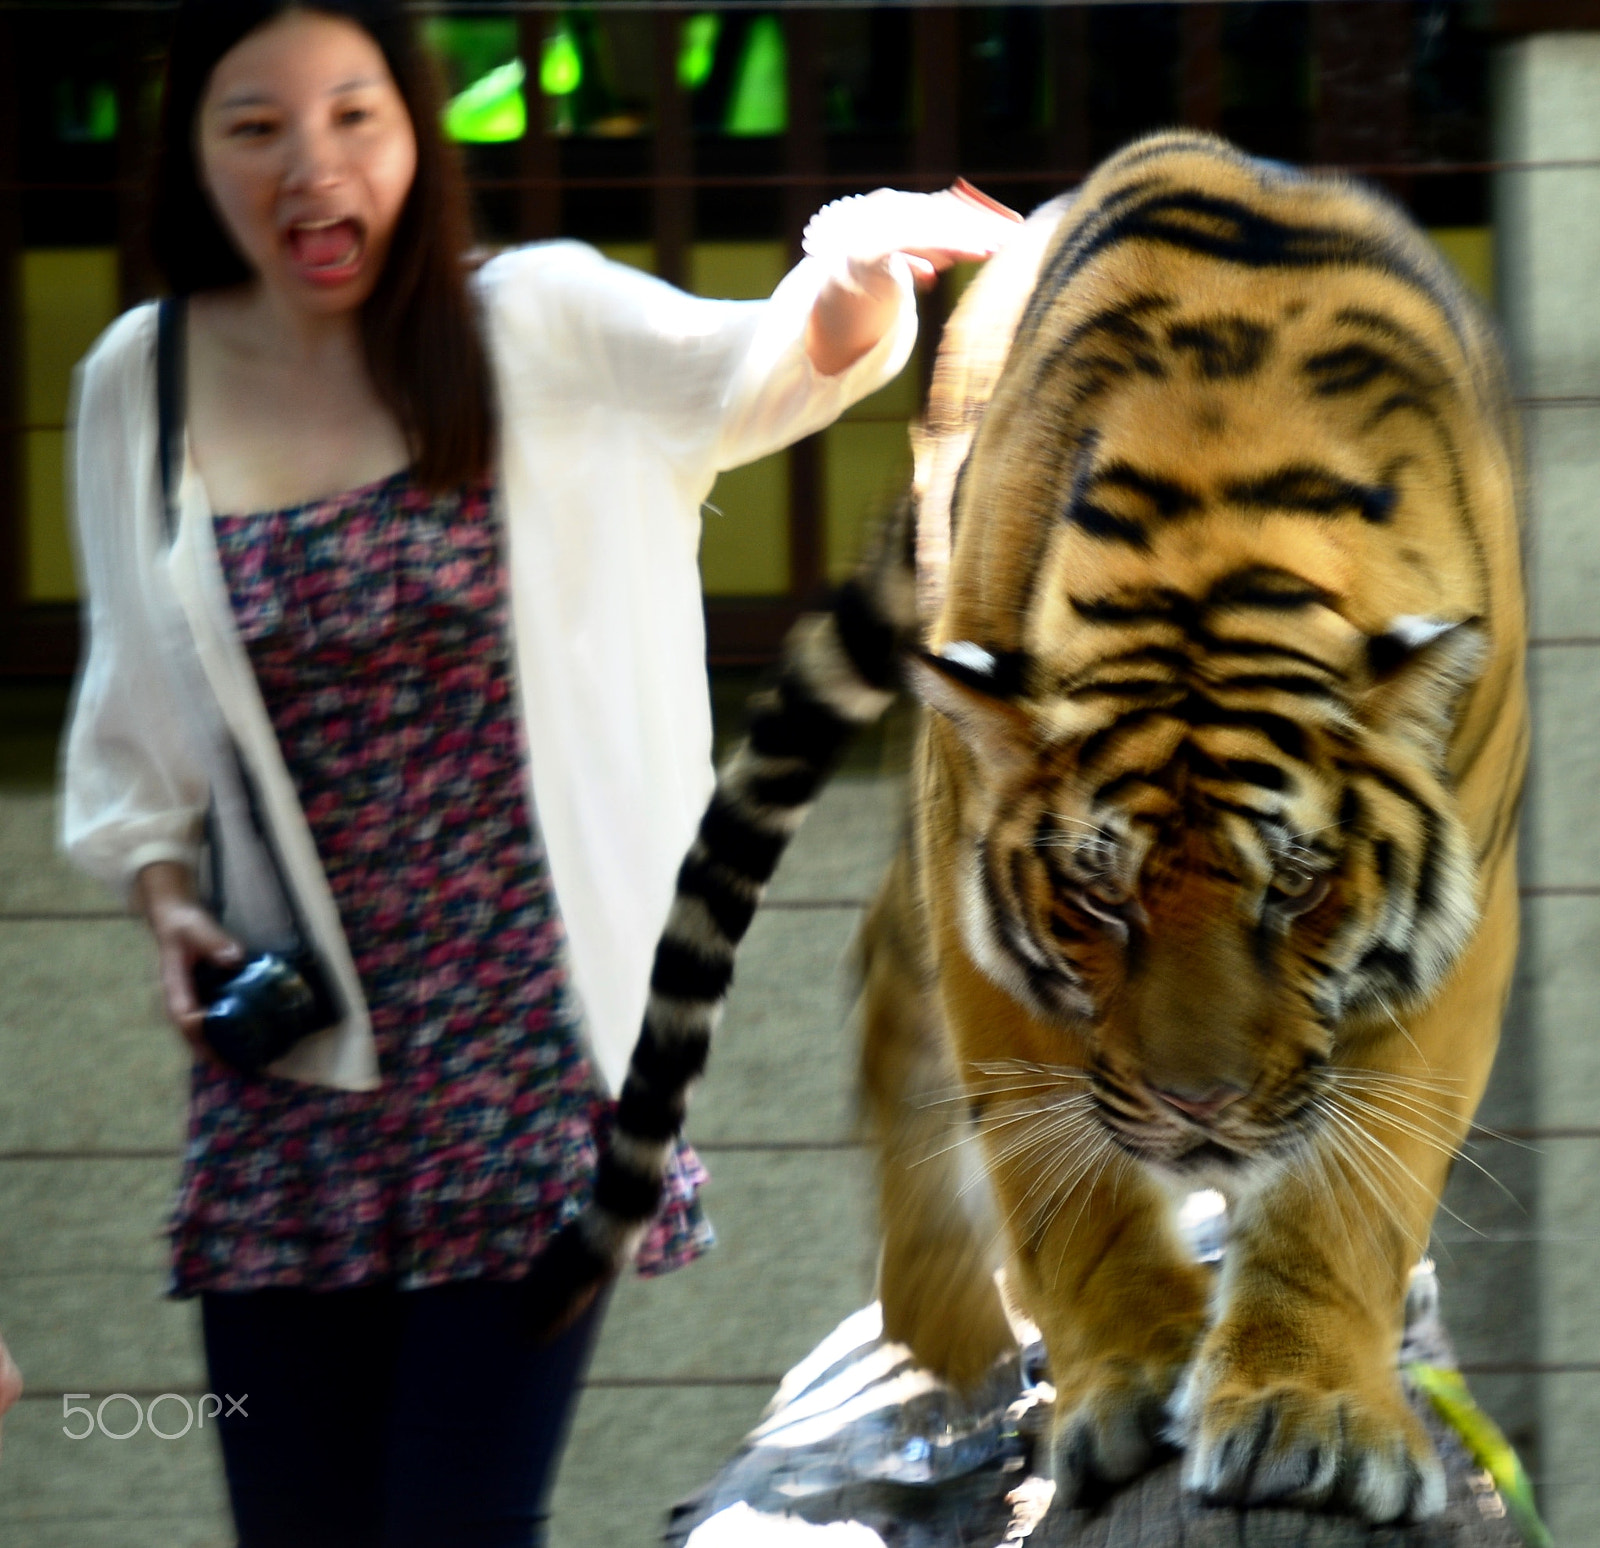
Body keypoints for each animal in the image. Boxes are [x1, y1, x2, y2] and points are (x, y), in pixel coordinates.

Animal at [523, 130, 1527, 1526]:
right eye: (1100, 897)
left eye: (1297, 888)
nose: (1200, 1107)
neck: (1227, 537)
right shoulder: (989, 918)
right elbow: (1060, 1178)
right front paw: (1136, 1377)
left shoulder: (1465, 923)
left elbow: (1350, 1191)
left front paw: (1304, 1412)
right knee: (893, 985)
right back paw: (948, 1331)